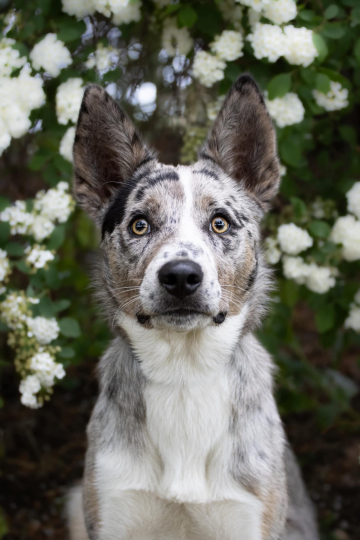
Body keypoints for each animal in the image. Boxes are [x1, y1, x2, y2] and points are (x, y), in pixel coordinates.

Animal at [68, 73, 320, 540]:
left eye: (220, 222)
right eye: (140, 224)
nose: (181, 276)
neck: (184, 375)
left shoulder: (247, 516)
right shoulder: (113, 508)